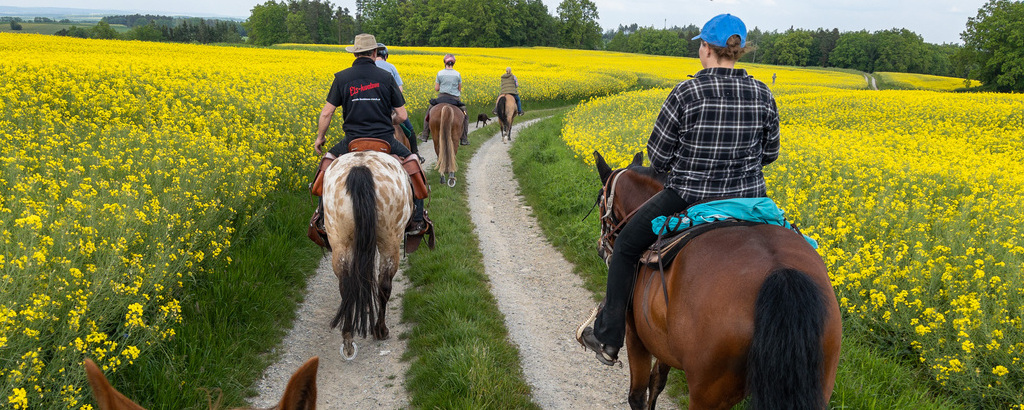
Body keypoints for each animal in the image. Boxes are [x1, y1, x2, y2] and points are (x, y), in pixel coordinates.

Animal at [589, 150, 843, 410]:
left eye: (600, 200)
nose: (600, 246)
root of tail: (781, 274)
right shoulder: (665, 341)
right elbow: (657, 381)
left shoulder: (636, 336)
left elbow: (637, 394)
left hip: (708, 392)